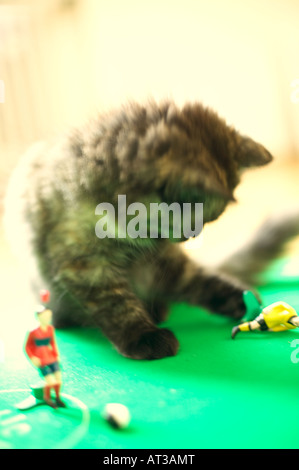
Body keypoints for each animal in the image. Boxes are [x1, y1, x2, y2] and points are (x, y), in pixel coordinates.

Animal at [5, 100, 276, 360]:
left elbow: (200, 280)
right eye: (196, 221)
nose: (192, 236)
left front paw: (242, 299)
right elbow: (117, 304)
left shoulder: (162, 262)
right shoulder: (86, 265)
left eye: (208, 222)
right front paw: (144, 337)